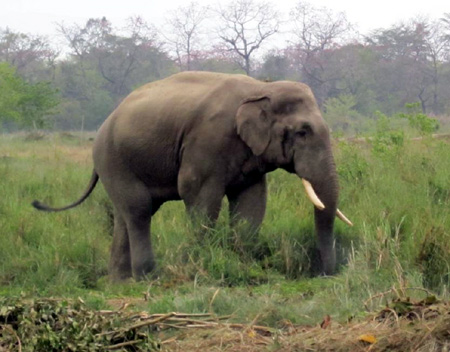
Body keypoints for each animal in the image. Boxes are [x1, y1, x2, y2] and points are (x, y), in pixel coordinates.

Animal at [33, 71, 354, 280]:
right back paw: (147, 276)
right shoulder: (207, 140)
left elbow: (251, 203)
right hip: (114, 160)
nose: (325, 274)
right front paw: (200, 266)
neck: (261, 87)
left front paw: (243, 266)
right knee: (139, 210)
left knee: (124, 215)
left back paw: (120, 281)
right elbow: (198, 195)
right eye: (302, 132)